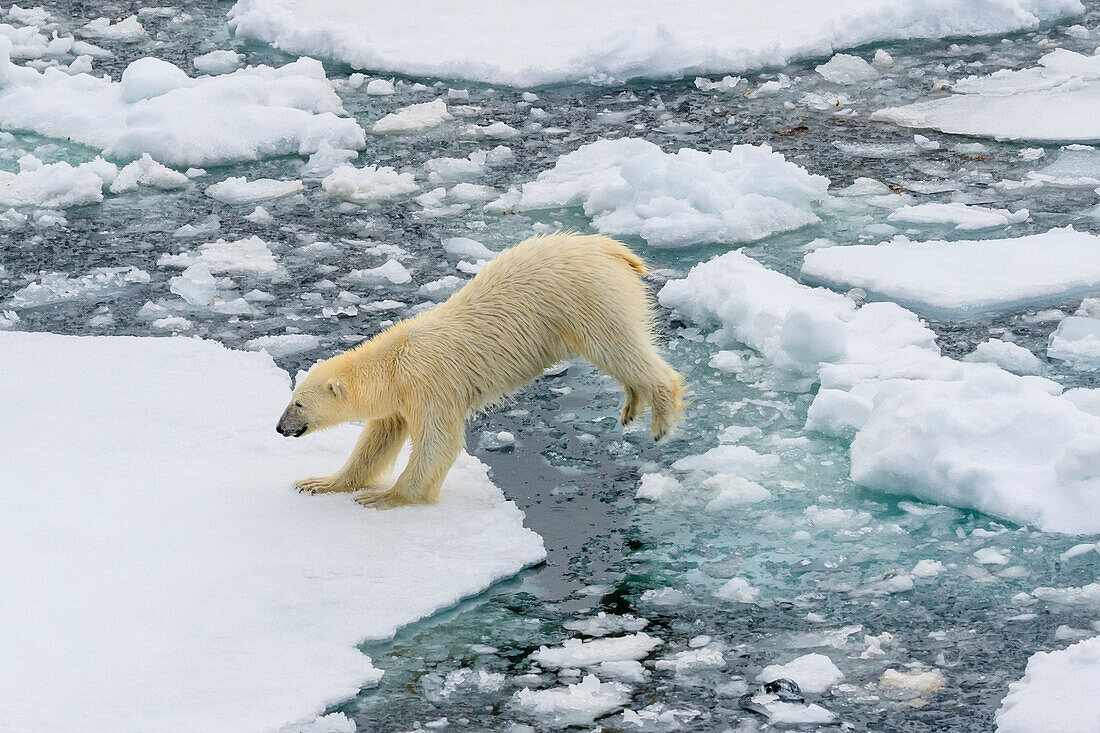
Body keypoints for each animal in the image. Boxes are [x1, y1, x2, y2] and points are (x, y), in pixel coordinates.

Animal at [279, 231, 682, 506]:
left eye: (298, 403)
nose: (280, 428)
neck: (395, 360)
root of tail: (611, 248)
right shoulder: (402, 397)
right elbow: (377, 440)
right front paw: (319, 482)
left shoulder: (429, 384)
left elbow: (437, 441)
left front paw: (385, 497)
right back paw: (631, 406)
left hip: (587, 298)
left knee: (616, 345)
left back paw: (662, 417)